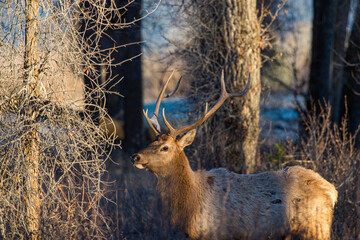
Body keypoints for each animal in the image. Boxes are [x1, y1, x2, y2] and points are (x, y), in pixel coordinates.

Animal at [131, 71, 338, 240]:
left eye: (165, 147)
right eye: (152, 141)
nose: (136, 157)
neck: (189, 206)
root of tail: (332, 191)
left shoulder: (217, 233)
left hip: (315, 228)